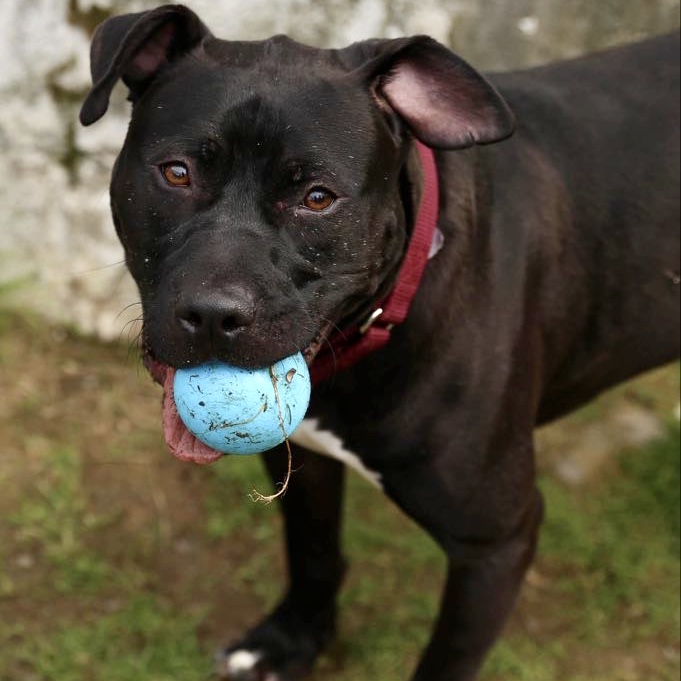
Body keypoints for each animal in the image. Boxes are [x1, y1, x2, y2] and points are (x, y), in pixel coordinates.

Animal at [78, 6, 676, 680]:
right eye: (176, 173)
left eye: (317, 198)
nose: (212, 314)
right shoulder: (303, 462)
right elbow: (312, 553)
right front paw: (290, 642)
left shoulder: (495, 543)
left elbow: (446, 660)